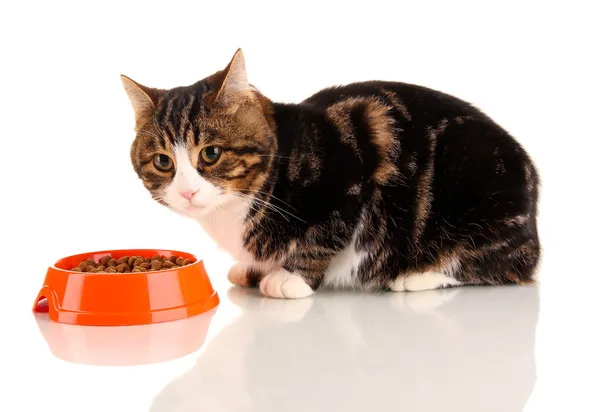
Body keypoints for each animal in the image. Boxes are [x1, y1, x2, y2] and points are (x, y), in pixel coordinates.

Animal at [120, 49, 540, 300]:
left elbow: (324, 235)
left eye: (211, 154)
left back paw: (418, 276)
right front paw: (255, 269)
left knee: (502, 266)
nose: (187, 192)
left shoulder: (350, 177)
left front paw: (290, 277)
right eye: (163, 162)